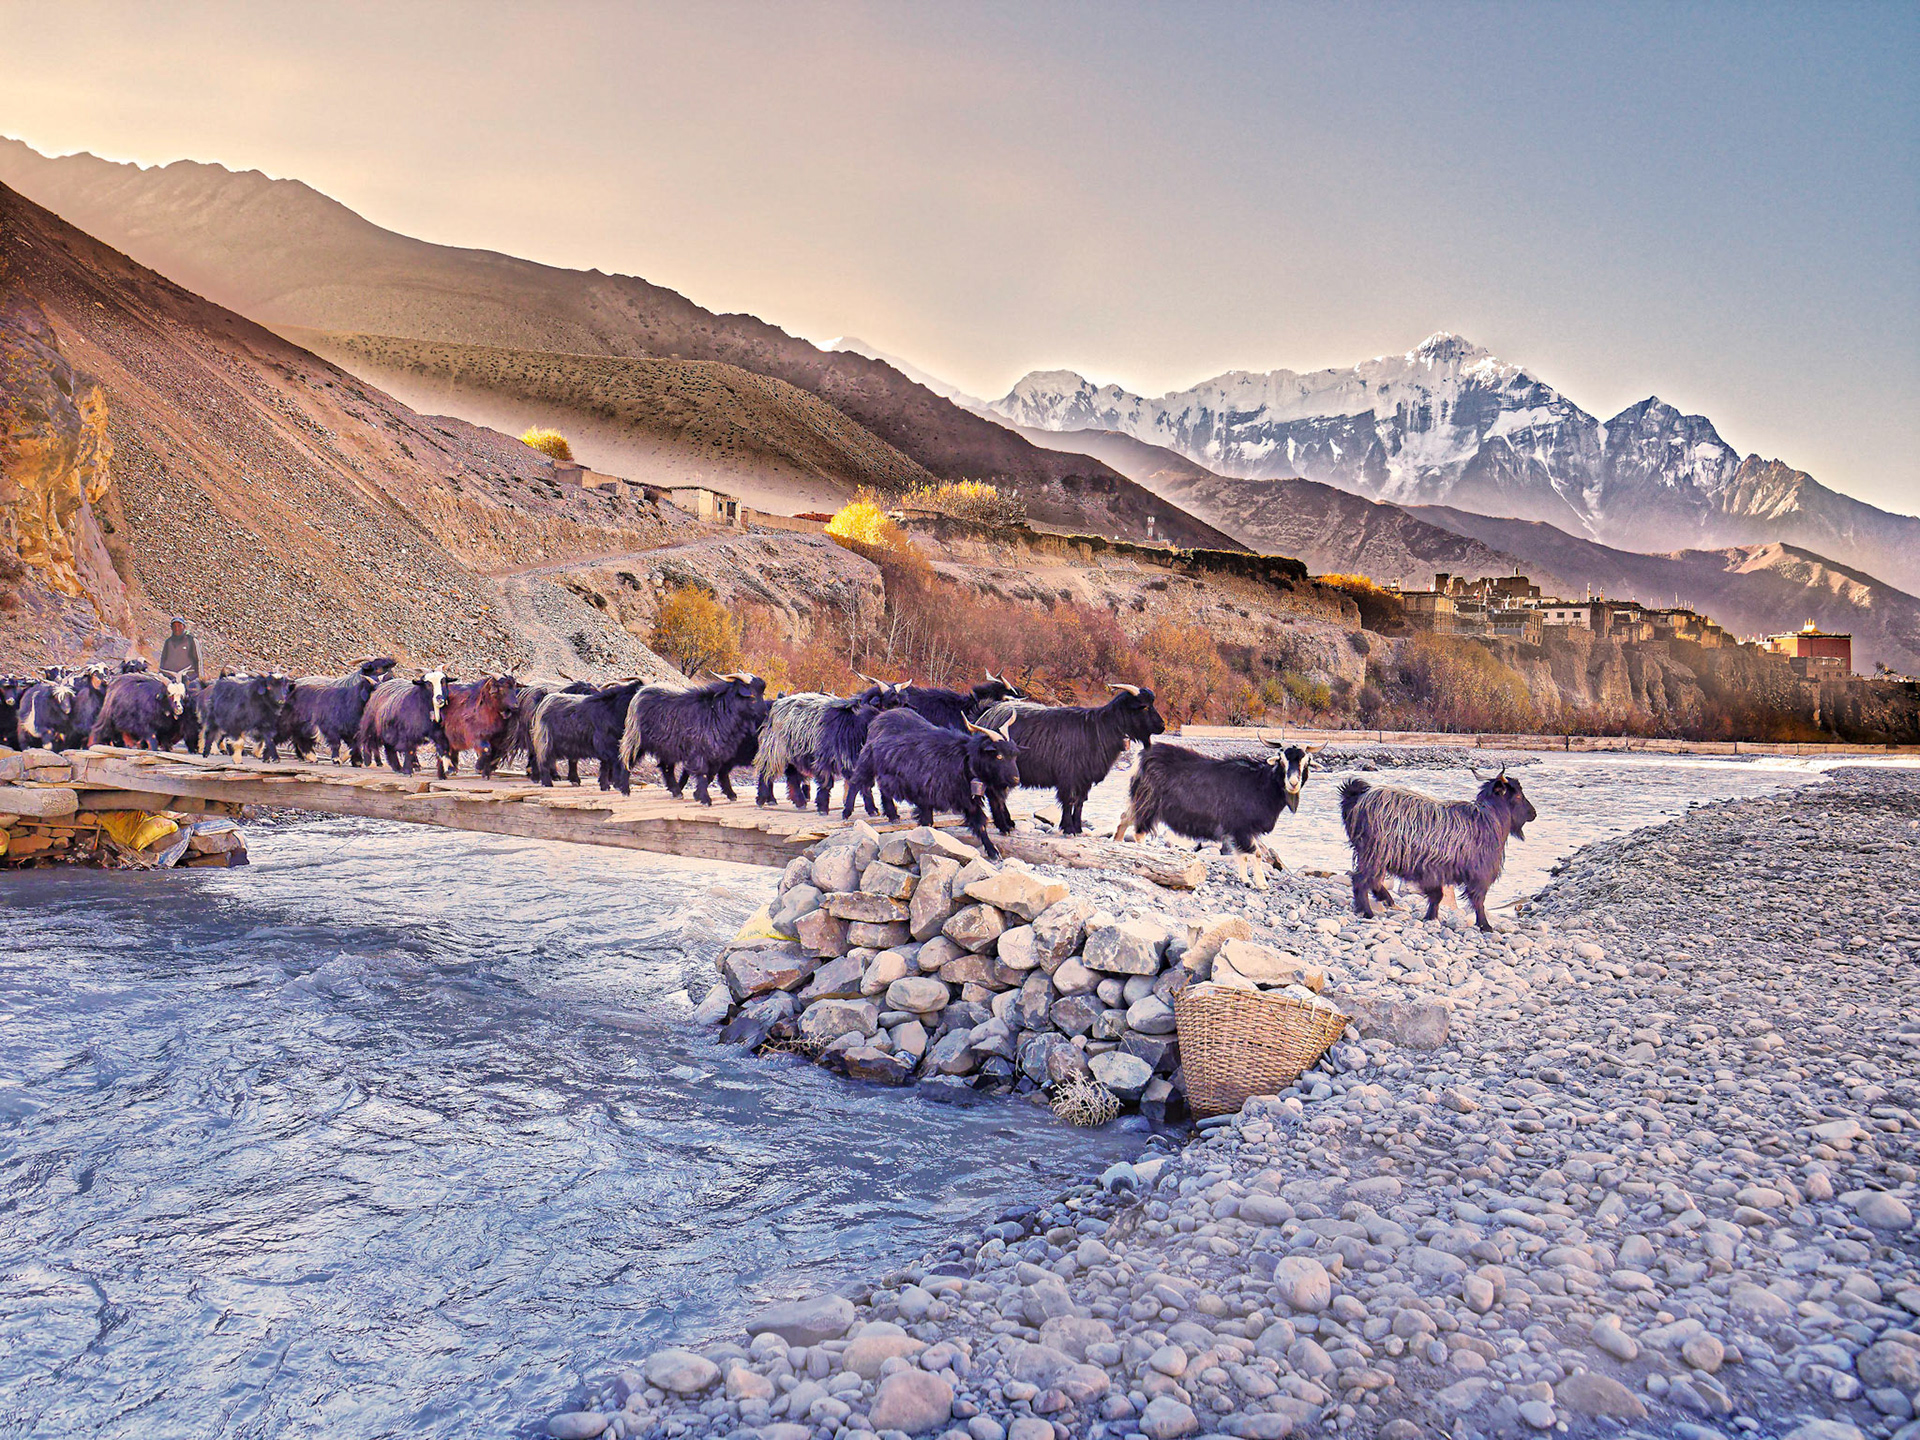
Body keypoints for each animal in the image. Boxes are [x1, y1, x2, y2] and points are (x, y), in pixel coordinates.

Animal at [842, 709, 1022, 858]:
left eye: (1014, 755)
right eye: (998, 756)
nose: (1016, 780)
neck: (964, 759)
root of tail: (879, 717)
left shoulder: (968, 797)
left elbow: (984, 817)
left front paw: (999, 838)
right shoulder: (927, 794)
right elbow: (931, 821)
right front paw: (993, 851)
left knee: (883, 788)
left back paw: (892, 815)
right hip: (867, 761)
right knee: (856, 782)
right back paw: (847, 812)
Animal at [977, 683, 1165, 835]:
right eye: (1144, 707)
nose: (1162, 726)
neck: (1101, 729)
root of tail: (987, 714)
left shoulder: (1084, 778)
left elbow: (1080, 802)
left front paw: (1078, 827)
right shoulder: (1069, 775)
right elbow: (1068, 801)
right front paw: (1068, 828)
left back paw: (1008, 823)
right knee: (994, 796)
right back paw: (1003, 826)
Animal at [1114, 738, 1323, 889]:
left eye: (1307, 762)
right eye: (1282, 761)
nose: (1293, 783)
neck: (1261, 784)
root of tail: (1141, 757)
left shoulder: (1242, 830)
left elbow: (1241, 854)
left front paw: (1245, 880)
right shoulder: (1242, 827)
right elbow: (1255, 853)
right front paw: (1262, 884)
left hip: (1137, 800)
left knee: (1124, 818)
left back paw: (1116, 843)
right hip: (1148, 803)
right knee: (1139, 831)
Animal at [1339, 770, 1537, 931]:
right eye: (1518, 796)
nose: (1533, 813)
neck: (1489, 818)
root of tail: (1358, 798)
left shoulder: (1432, 871)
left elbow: (1437, 895)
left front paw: (1431, 918)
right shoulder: (1480, 873)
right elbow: (1478, 900)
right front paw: (1485, 926)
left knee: (1371, 880)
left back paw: (1386, 899)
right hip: (1375, 853)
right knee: (1361, 880)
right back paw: (1368, 912)